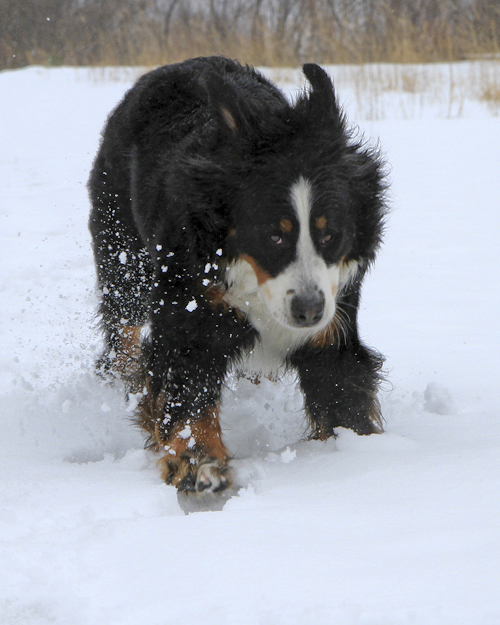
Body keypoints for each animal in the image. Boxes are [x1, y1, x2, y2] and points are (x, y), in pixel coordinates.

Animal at [88, 56, 388, 492]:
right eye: (273, 235)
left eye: (330, 233)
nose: (309, 310)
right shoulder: (191, 309)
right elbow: (186, 391)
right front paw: (198, 464)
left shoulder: (334, 322)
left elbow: (341, 392)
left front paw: (358, 456)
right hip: (122, 253)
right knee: (123, 329)